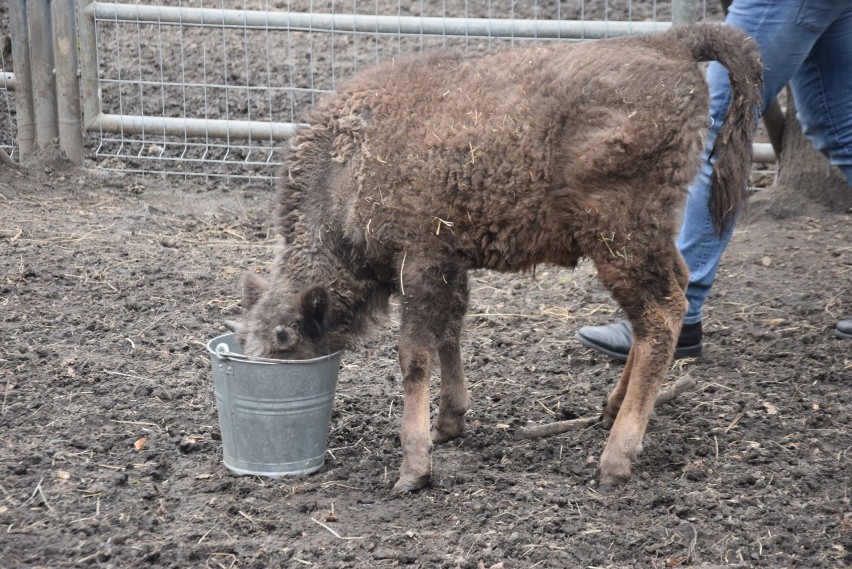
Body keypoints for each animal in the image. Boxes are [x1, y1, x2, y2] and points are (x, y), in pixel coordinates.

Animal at [231, 22, 760, 490]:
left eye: (284, 339)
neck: (349, 163)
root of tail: (674, 41)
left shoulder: (421, 261)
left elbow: (414, 353)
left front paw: (414, 468)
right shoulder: (450, 264)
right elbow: (449, 334)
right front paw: (449, 423)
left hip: (618, 236)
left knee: (660, 315)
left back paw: (615, 460)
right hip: (650, 235)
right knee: (672, 293)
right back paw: (610, 408)